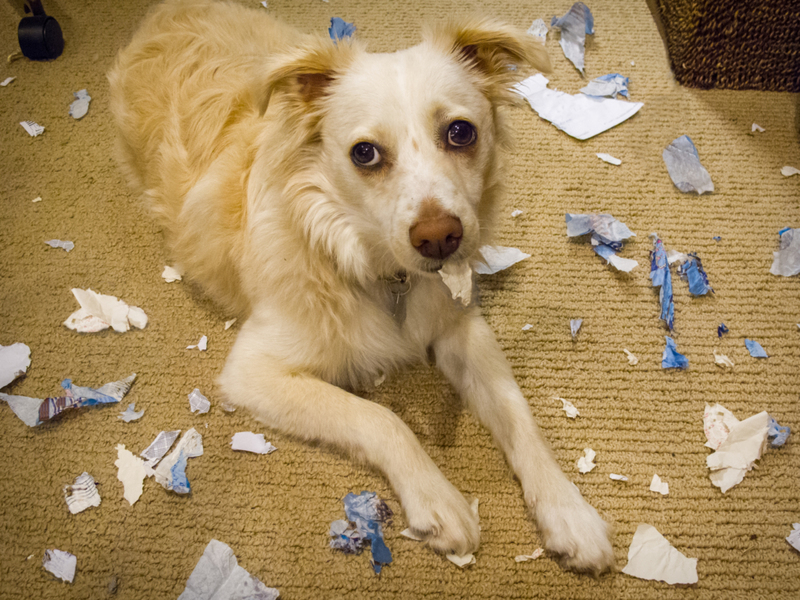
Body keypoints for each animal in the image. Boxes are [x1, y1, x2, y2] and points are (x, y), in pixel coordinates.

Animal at [109, 0, 616, 572]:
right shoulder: (254, 372)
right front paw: (438, 500)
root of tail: (166, 11)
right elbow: (379, 417)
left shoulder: (461, 327)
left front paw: (568, 511)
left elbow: (517, 411)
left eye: (461, 132)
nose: (439, 239)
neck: (383, 272)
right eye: (365, 153)